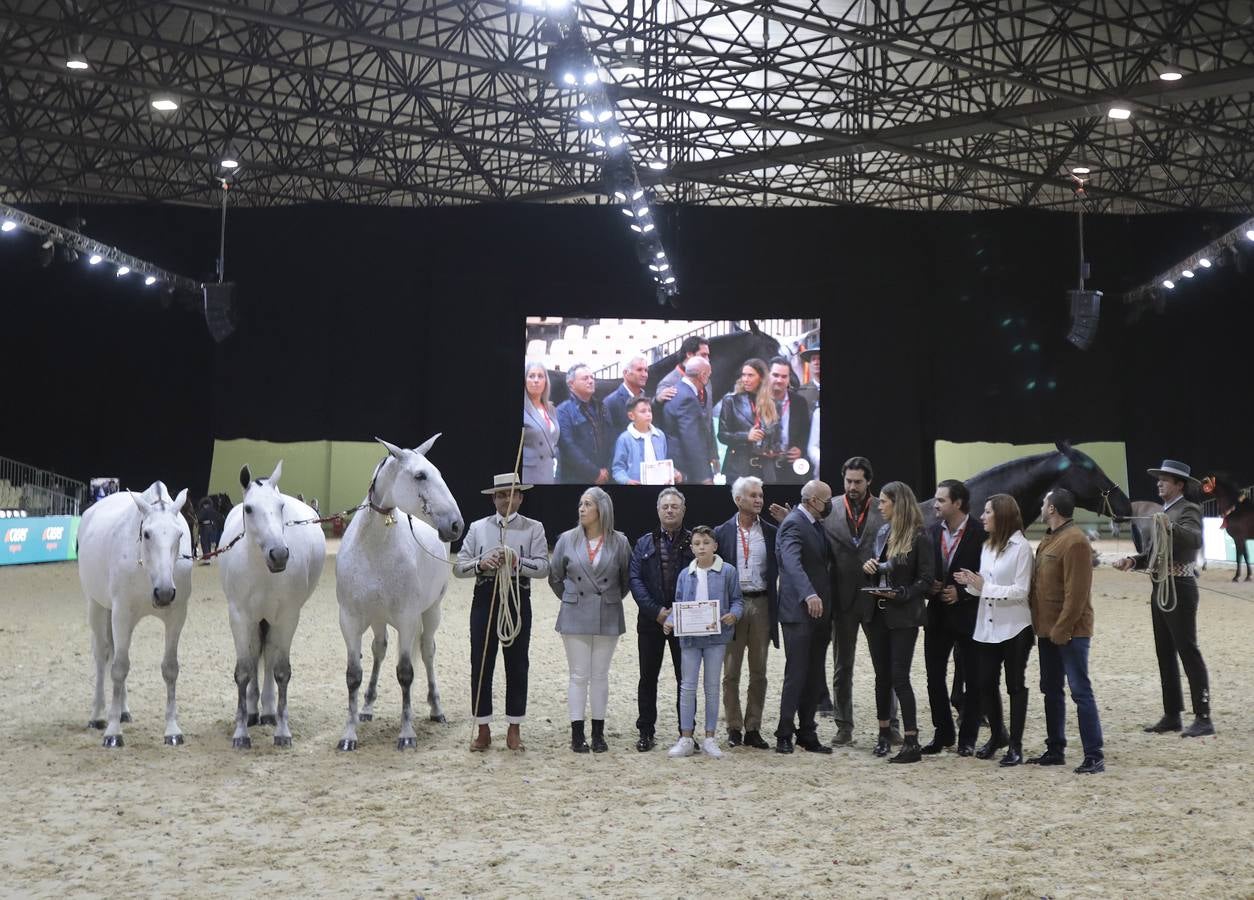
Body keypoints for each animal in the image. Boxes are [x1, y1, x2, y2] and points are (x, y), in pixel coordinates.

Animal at [78, 483, 193, 752]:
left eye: (179, 535)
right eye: (147, 534)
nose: (164, 593)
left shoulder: (176, 616)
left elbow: (170, 669)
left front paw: (172, 731)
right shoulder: (122, 614)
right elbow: (119, 668)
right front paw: (112, 734)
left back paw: (122, 711)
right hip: (96, 606)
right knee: (102, 657)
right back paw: (98, 716)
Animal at [220, 461, 328, 752]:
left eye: (280, 506)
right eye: (249, 509)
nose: (279, 555)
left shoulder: (286, 618)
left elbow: (280, 671)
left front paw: (282, 731)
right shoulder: (240, 618)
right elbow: (244, 672)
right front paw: (241, 733)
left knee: (267, 656)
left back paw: (267, 712)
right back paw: (253, 712)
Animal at [336, 438, 463, 752]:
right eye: (420, 475)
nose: (456, 525)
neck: (373, 549)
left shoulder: (407, 620)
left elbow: (406, 674)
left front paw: (407, 734)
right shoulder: (350, 621)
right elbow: (353, 676)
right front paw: (349, 735)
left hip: (431, 613)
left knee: (427, 652)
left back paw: (436, 710)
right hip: (379, 620)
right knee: (379, 650)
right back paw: (367, 708)